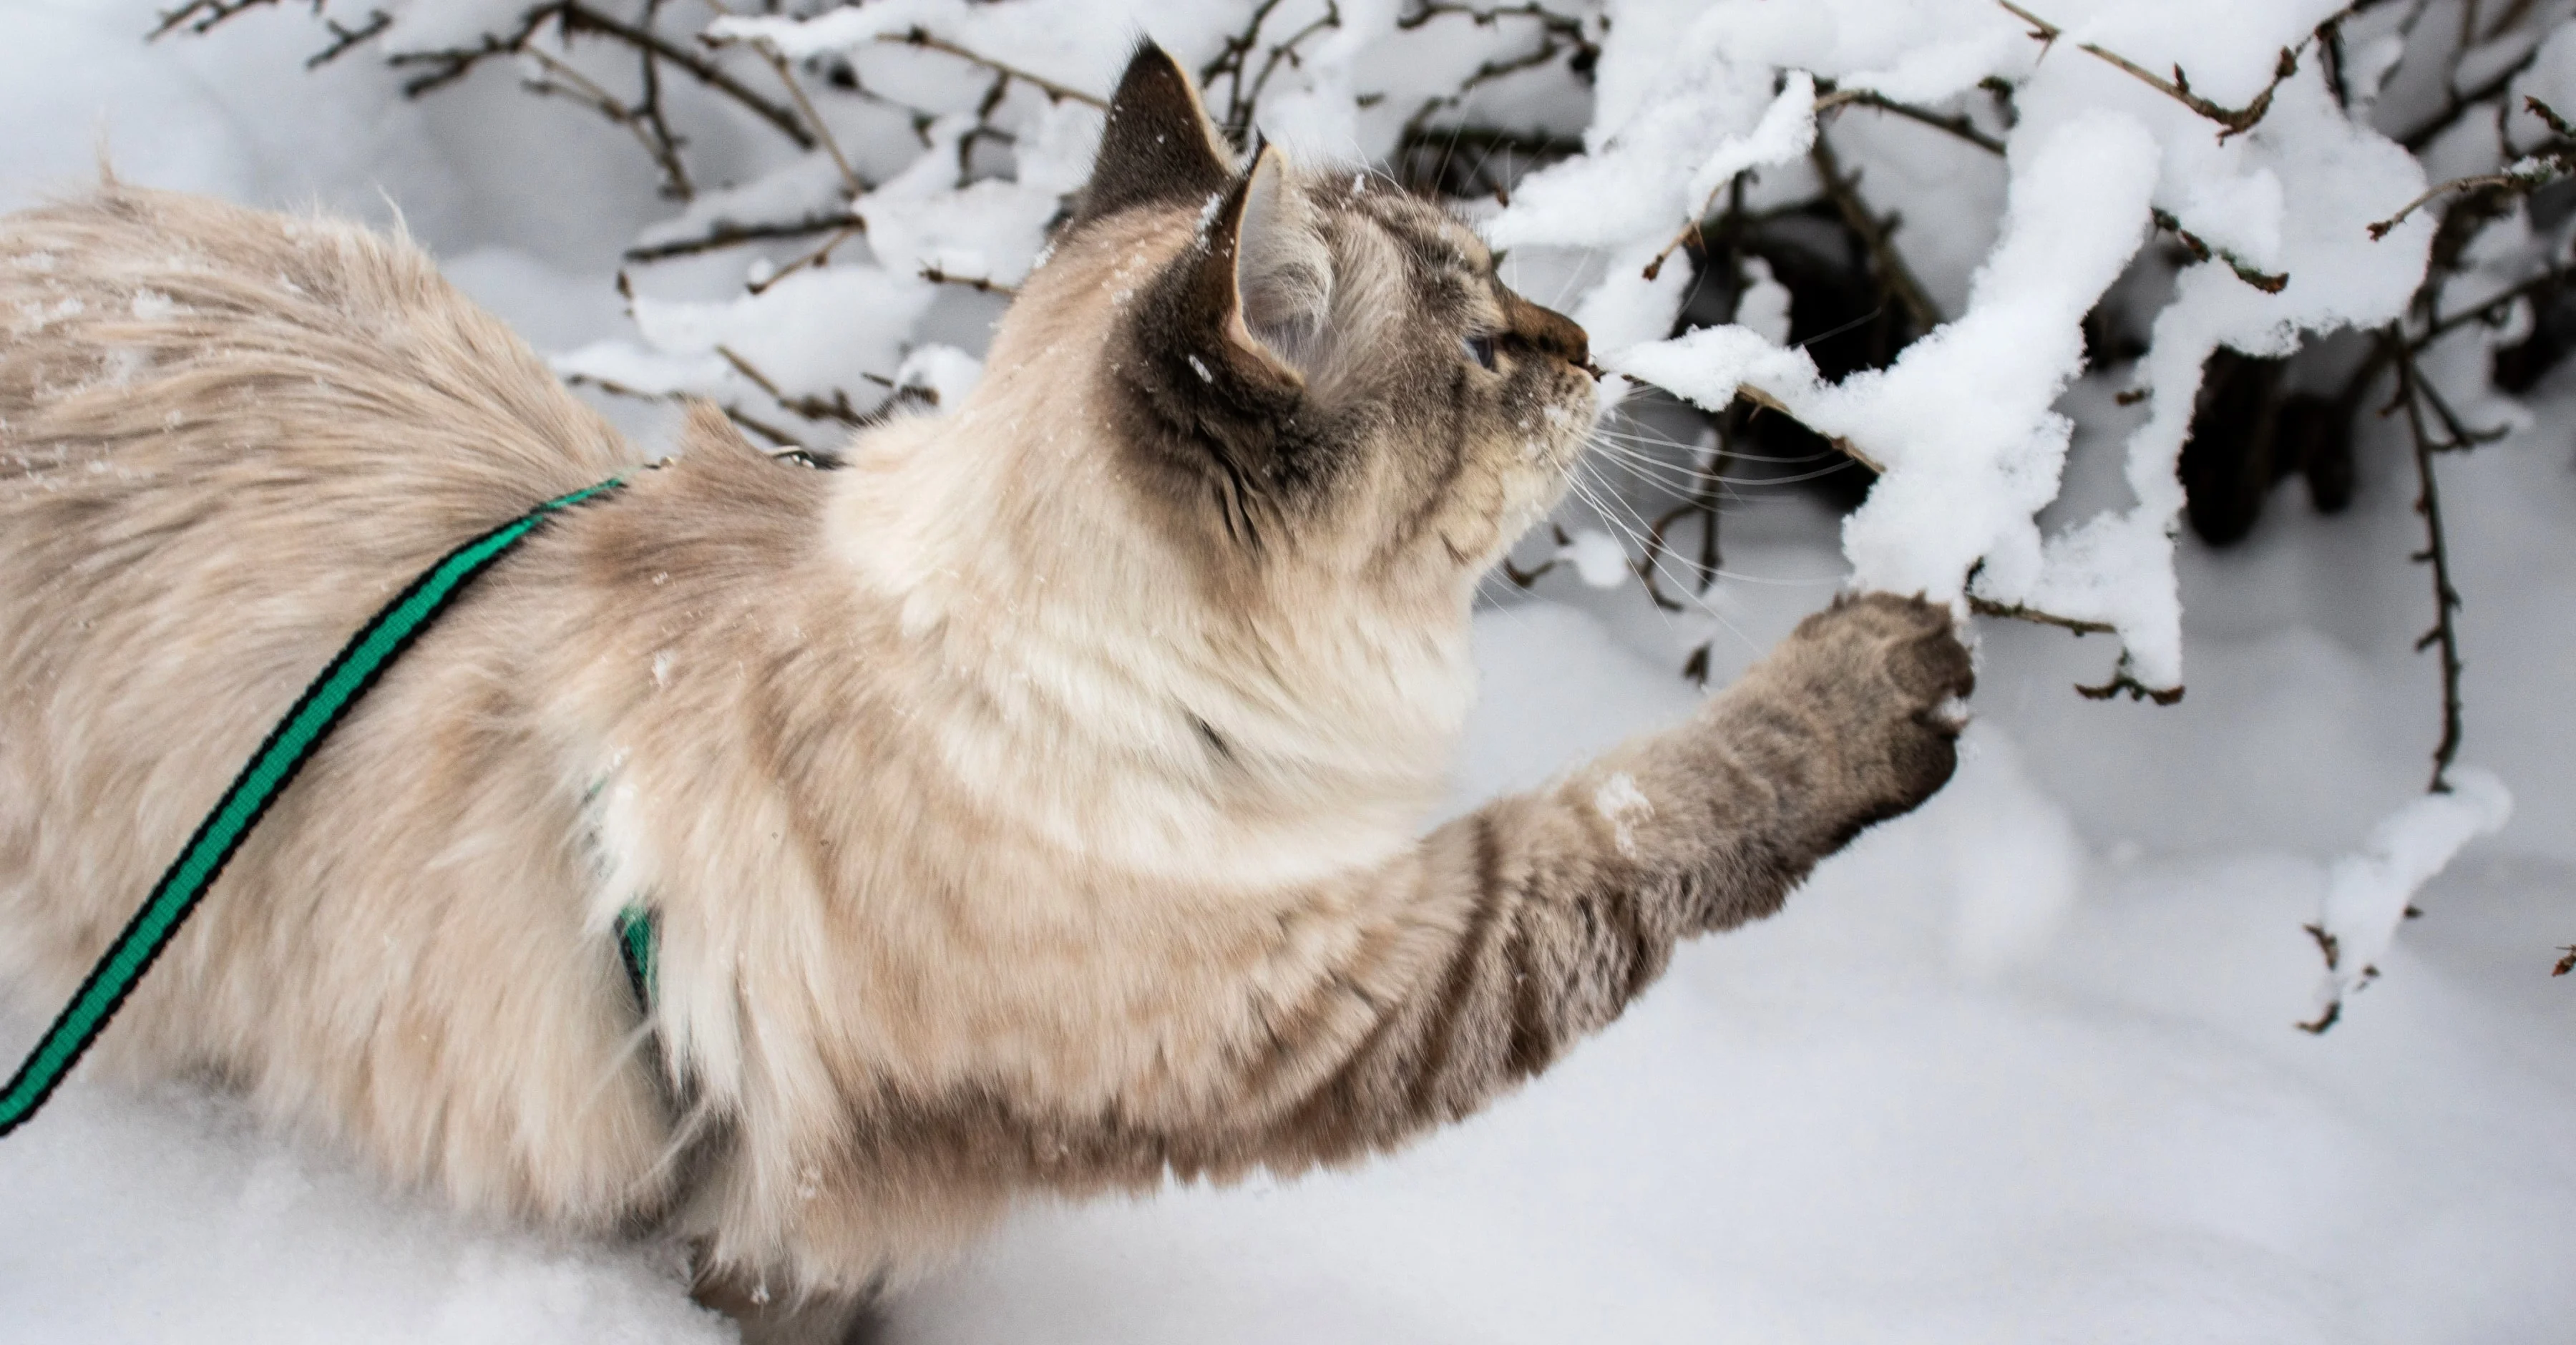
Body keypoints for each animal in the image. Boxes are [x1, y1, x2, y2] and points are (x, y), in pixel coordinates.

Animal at [5, 41, 1968, 1339]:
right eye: (1489, 346)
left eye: (1513, 296)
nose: (1591, 346)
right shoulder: (1299, 984)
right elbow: (1619, 828)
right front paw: (1892, 668)